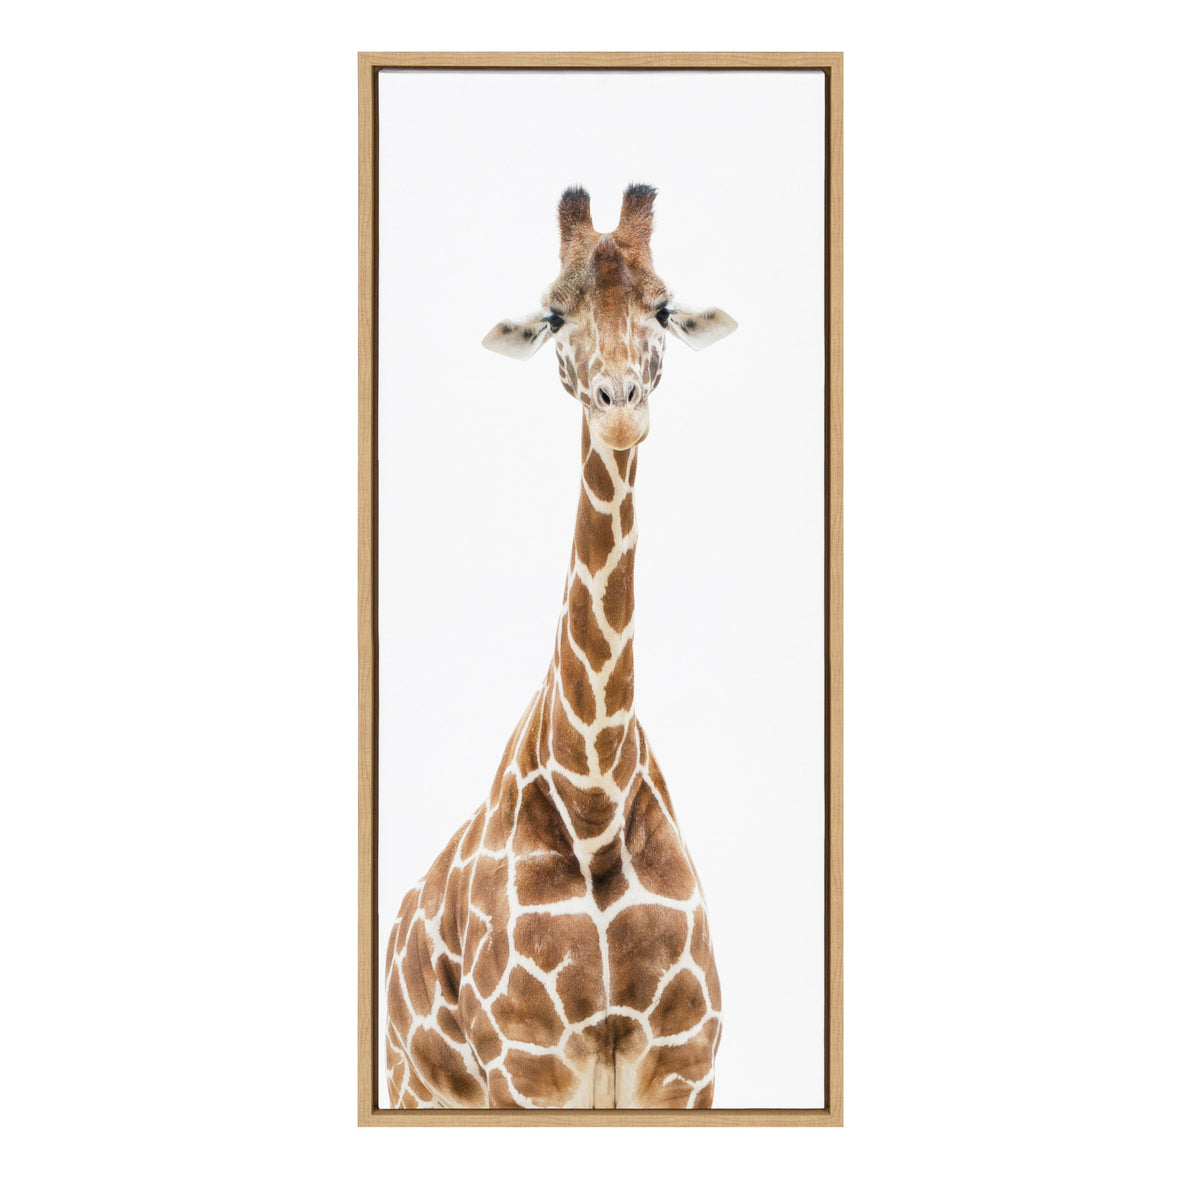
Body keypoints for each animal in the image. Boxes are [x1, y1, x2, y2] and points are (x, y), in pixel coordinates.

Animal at [384, 184, 738, 1109]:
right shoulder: (526, 1066)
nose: (620, 409)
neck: (594, 796)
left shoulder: (685, 1066)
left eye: (662, 307)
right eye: (553, 315)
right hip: (418, 1090)